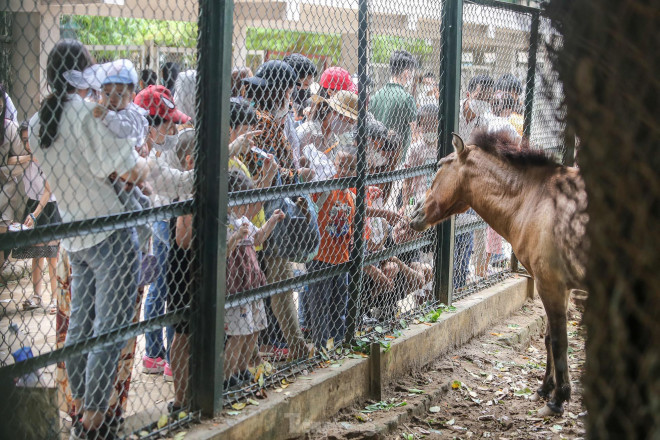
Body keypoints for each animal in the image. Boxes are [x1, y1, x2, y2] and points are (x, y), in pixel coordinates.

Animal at [412, 128, 588, 416]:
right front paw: (545, 388)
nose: (414, 213)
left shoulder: (551, 284)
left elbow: (559, 341)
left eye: (439, 165)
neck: (536, 198)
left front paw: (559, 399)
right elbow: (549, 337)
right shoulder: (558, 288)